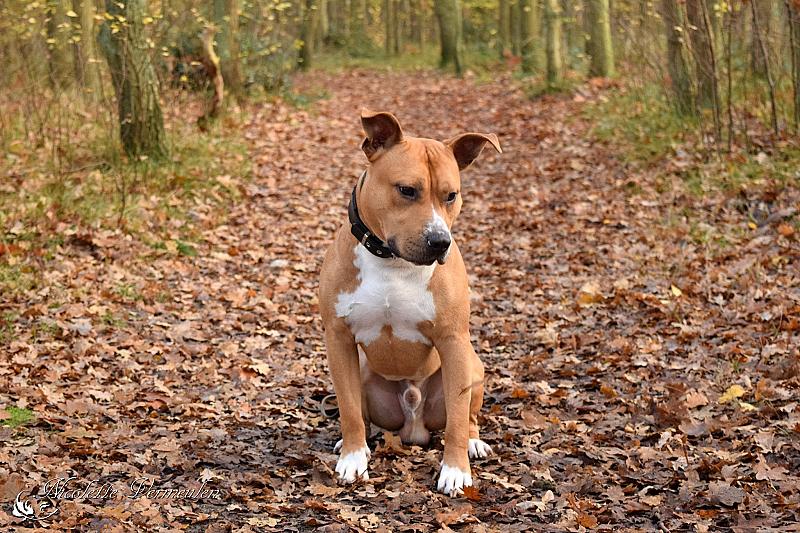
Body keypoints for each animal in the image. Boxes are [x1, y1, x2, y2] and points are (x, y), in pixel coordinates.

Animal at [319, 110, 501, 496]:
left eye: (451, 195)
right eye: (406, 190)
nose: (440, 241)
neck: (393, 262)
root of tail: (414, 427)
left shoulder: (453, 341)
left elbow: (457, 419)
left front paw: (455, 470)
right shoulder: (338, 339)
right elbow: (349, 409)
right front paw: (353, 457)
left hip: (472, 365)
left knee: (468, 416)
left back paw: (473, 443)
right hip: (362, 370)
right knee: (363, 412)